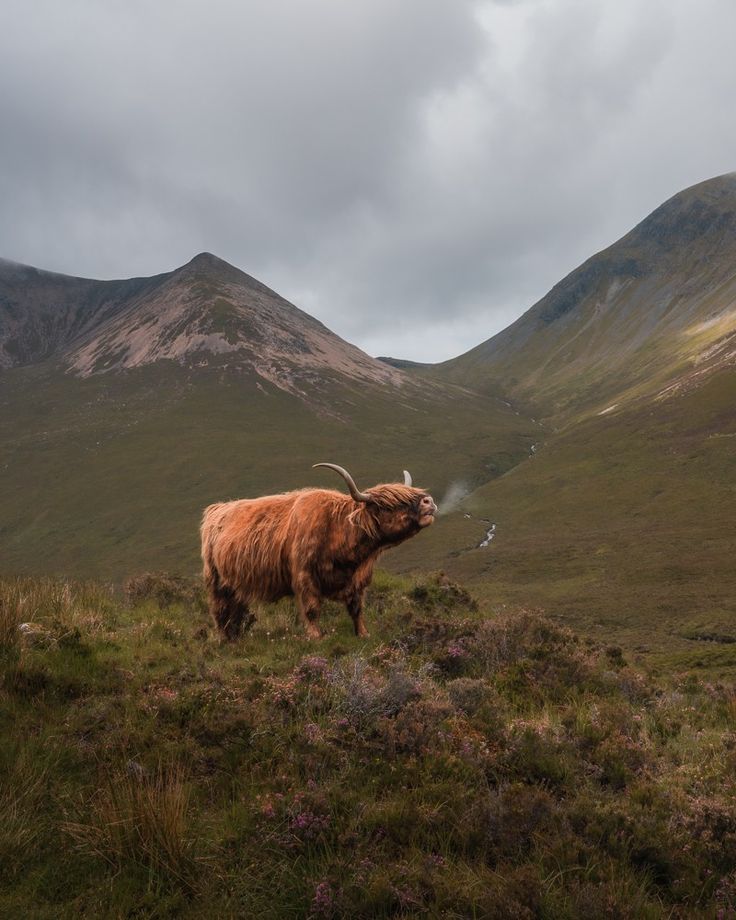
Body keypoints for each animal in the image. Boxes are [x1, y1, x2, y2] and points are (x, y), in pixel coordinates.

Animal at [200, 460, 436, 640]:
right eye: (389, 504)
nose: (428, 502)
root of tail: (217, 508)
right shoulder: (305, 576)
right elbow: (312, 609)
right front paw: (316, 637)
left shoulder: (359, 579)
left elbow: (356, 608)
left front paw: (363, 634)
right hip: (216, 580)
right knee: (220, 610)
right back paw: (225, 640)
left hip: (236, 583)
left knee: (235, 610)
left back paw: (236, 637)